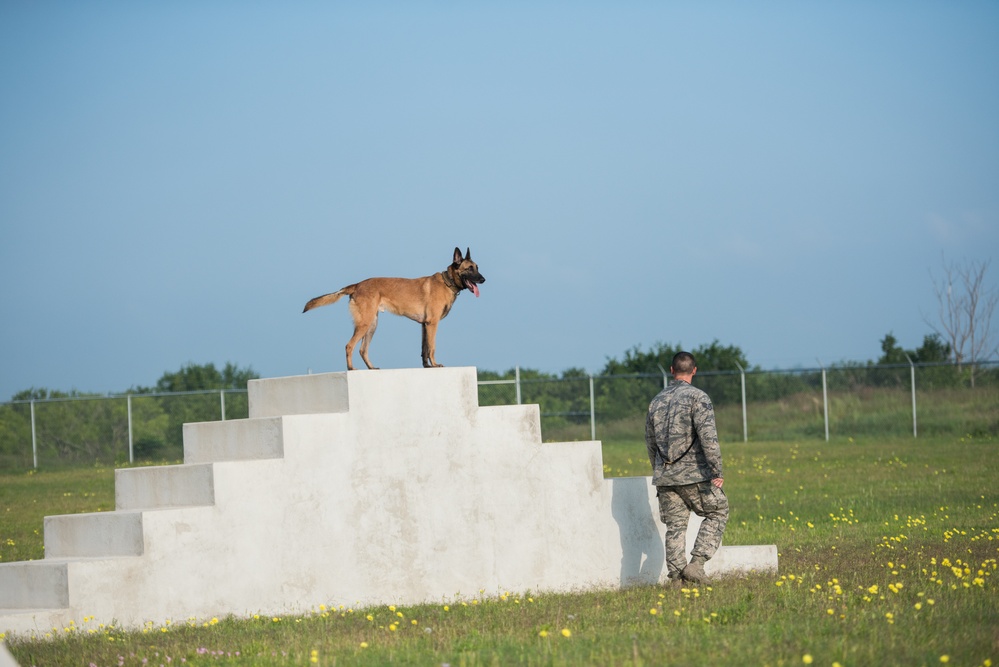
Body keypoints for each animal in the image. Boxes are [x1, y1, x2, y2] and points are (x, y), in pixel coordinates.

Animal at [302, 248, 486, 370]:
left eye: (477, 267)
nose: (483, 279)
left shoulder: (424, 325)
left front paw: (426, 366)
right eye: (469, 268)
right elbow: (432, 347)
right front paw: (435, 365)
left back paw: (371, 368)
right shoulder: (432, 324)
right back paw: (351, 369)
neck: (448, 282)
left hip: (372, 325)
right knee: (349, 346)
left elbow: (424, 349)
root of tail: (357, 285)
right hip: (365, 323)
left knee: (362, 350)